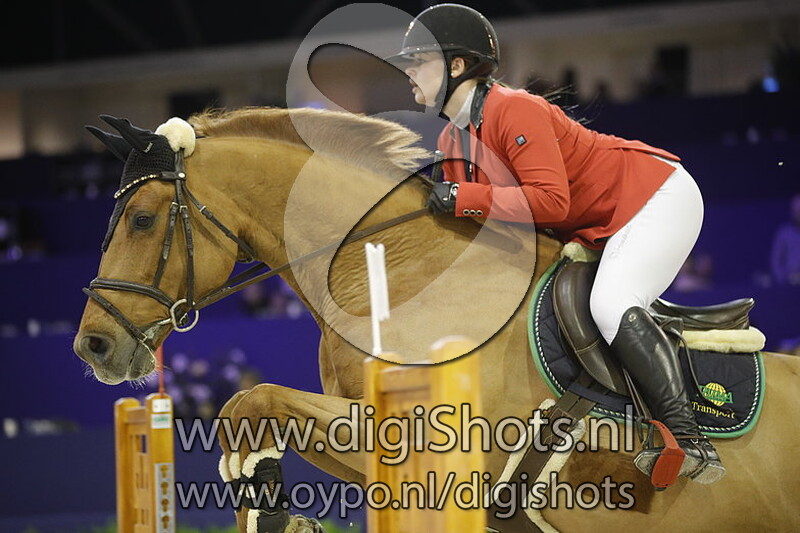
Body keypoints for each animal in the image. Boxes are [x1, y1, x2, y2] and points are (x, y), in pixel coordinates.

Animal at [74, 107, 800, 533]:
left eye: (142, 219)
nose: (93, 346)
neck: (397, 266)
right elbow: (247, 407)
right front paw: (271, 500)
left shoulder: (430, 435)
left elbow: (253, 398)